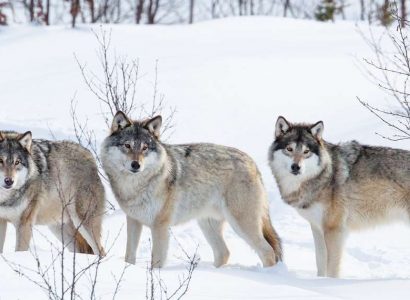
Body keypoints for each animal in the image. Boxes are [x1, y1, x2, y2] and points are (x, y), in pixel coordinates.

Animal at [101, 112, 282, 268]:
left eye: (145, 148)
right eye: (127, 145)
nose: (136, 165)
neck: (135, 186)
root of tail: (252, 162)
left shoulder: (160, 226)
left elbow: (156, 262)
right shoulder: (133, 220)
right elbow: (129, 256)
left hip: (241, 224)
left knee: (268, 251)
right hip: (207, 224)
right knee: (224, 252)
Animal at [268, 116, 410, 278]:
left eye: (306, 151)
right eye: (289, 149)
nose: (296, 167)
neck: (325, 176)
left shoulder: (334, 230)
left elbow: (332, 268)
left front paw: (332, 282)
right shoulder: (317, 228)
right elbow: (320, 261)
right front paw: (319, 281)